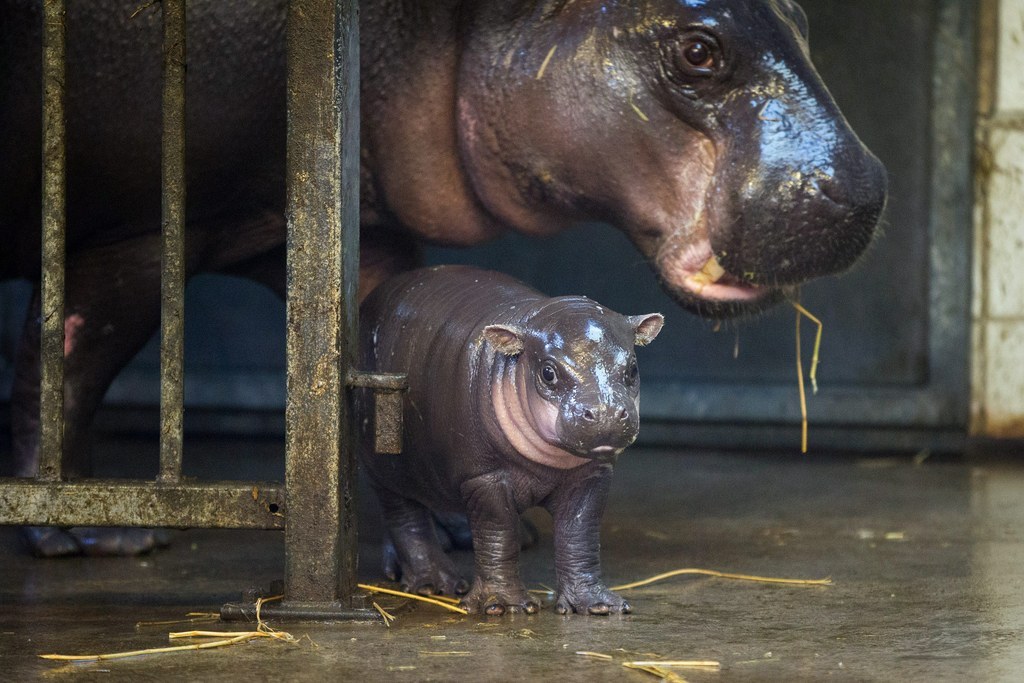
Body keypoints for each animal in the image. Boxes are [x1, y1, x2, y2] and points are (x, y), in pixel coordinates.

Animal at [0, 0, 884, 557]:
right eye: (699, 48)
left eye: (802, 16)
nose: (870, 188)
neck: (439, 25)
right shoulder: (144, 228)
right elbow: (67, 359)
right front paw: (88, 530)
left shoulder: (350, 234)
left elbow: (389, 367)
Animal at [360, 266, 663, 614]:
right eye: (548, 372)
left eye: (632, 369)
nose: (606, 413)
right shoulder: (483, 477)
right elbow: (497, 533)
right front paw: (503, 606)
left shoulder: (592, 474)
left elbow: (579, 534)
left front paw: (597, 606)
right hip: (386, 466)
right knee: (404, 516)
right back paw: (434, 584)